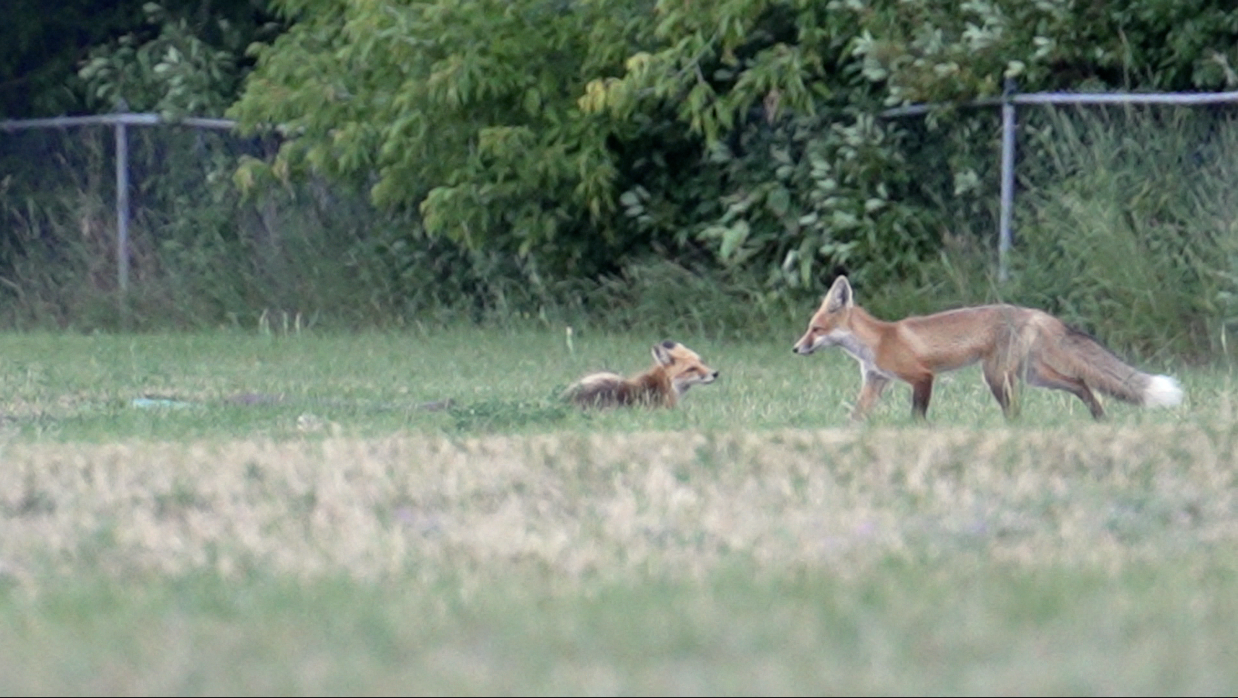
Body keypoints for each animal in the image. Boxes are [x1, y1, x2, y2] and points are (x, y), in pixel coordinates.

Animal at [792, 275, 1183, 421]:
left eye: (815, 329)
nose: (796, 349)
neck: (876, 341)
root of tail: (1031, 311)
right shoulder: (875, 381)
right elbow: (857, 416)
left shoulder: (921, 376)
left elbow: (917, 414)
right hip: (1032, 375)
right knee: (1082, 383)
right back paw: (1099, 418)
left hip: (997, 375)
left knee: (1018, 409)